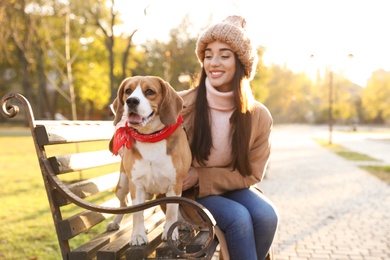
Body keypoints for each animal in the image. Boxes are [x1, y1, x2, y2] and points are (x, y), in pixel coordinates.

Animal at [106, 75, 192, 246]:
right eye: (128, 91)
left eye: (150, 91)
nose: (131, 101)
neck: (151, 137)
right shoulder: (136, 185)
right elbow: (137, 213)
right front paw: (138, 235)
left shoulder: (175, 184)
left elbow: (172, 211)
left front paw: (170, 231)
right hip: (122, 186)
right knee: (123, 205)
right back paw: (116, 222)